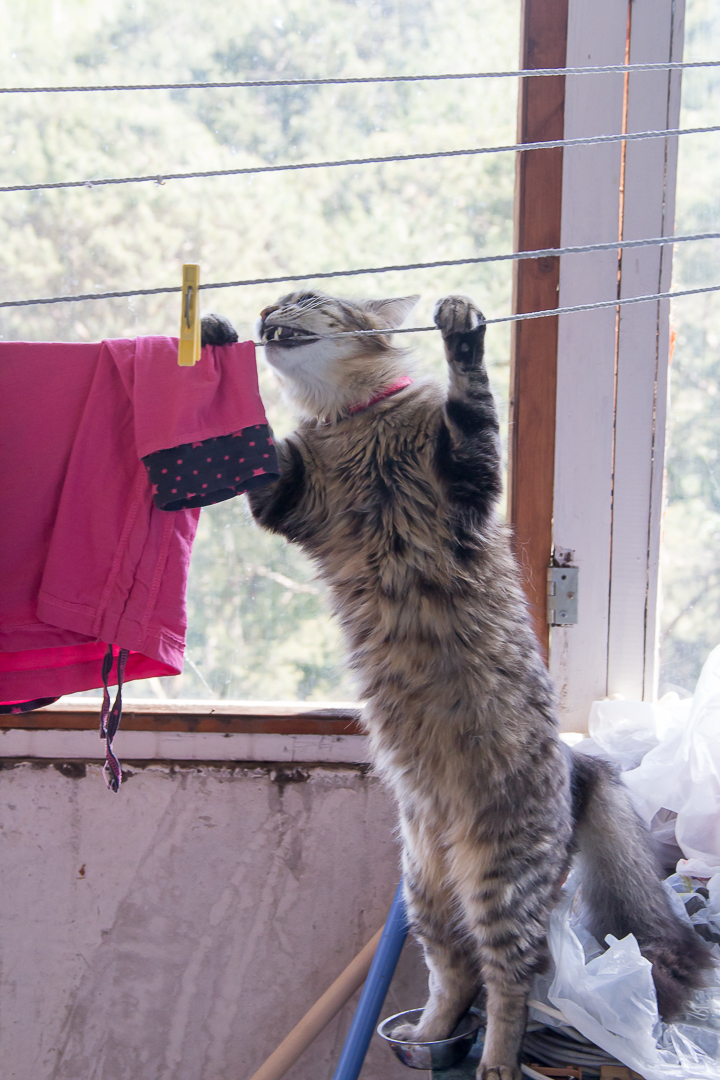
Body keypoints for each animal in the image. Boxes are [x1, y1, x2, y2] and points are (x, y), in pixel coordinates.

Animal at [205, 295, 712, 1080]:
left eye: (307, 302)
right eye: (278, 305)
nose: (265, 310)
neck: (355, 419)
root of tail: (577, 767)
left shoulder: (466, 478)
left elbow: (472, 406)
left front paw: (461, 329)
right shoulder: (289, 495)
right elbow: (249, 438)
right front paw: (216, 341)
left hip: (502, 885)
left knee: (512, 983)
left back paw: (495, 1059)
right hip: (427, 894)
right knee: (458, 975)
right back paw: (427, 1034)